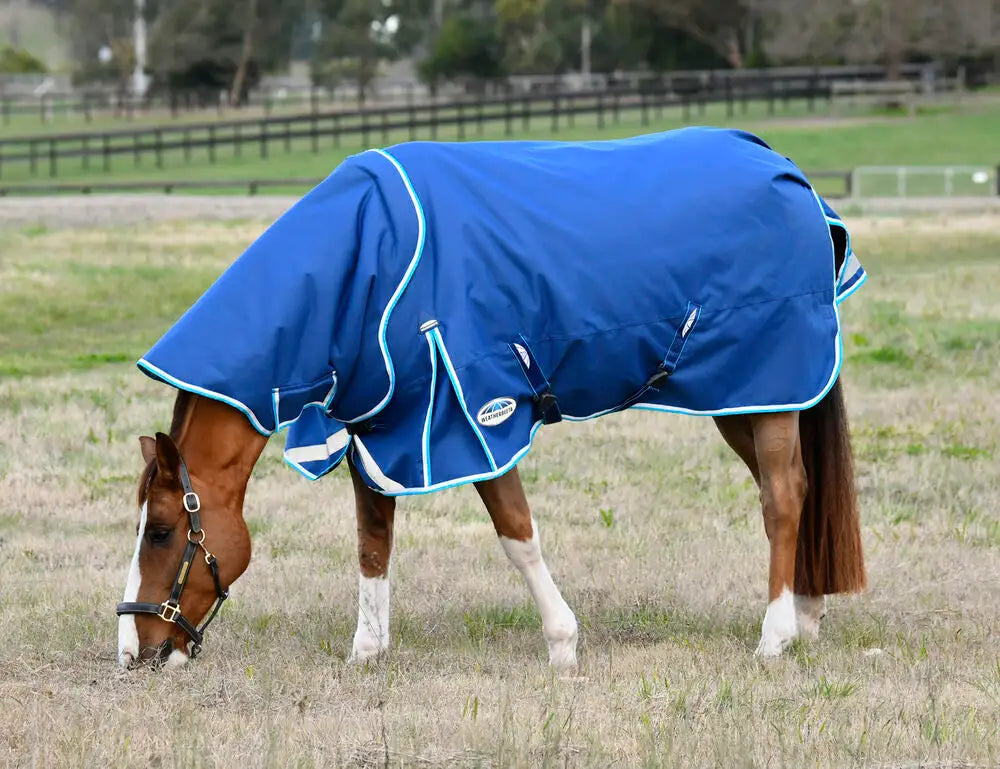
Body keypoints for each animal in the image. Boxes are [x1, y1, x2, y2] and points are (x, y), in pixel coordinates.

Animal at [116, 127, 867, 669]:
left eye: (162, 532)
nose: (134, 652)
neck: (366, 266)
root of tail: (784, 167)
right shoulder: (383, 431)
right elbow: (372, 542)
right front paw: (366, 651)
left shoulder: (474, 420)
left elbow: (516, 535)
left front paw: (563, 643)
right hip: (745, 397)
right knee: (791, 492)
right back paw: (806, 617)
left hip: (768, 385)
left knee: (783, 496)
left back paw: (774, 636)